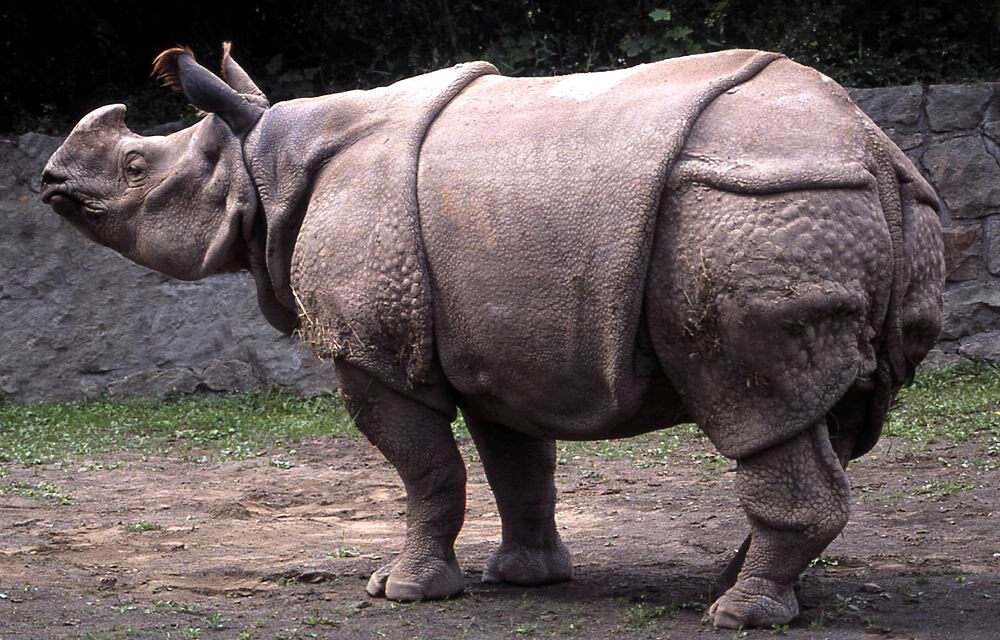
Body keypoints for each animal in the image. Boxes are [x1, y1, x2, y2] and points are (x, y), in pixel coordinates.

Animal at [40, 44, 943, 628]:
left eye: (135, 168)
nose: (50, 181)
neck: (262, 160)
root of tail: (872, 146)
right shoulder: (501, 348)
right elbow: (517, 465)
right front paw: (523, 579)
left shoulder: (373, 351)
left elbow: (426, 469)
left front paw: (401, 592)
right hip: (818, 205)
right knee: (823, 413)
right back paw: (753, 592)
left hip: (752, 207)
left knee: (754, 403)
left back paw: (738, 614)